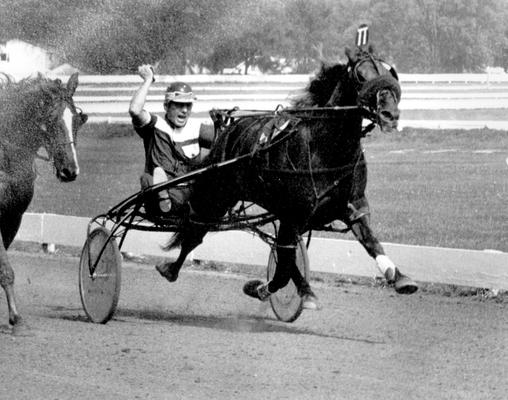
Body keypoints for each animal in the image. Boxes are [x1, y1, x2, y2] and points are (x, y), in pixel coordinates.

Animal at [0, 72, 87, 334]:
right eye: (50, 119)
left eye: (78, 119)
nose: (70, 170)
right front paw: (15, 317)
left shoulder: (13, 218)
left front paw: (15, 317)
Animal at [157, 44, 418, 306]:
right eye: (360, 76)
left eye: (390, 72)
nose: (390, 114)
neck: (325, 148)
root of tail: (228, 128)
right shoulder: (293, 214)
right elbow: (284, 264)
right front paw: (279, 290)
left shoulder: (352, 206)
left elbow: (370, 242)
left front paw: (400, 278)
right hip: (217, 197)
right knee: (195, 230)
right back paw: (170, 269)